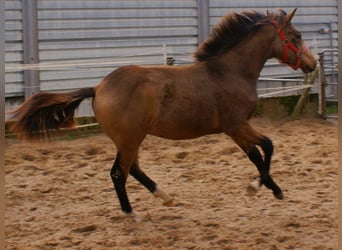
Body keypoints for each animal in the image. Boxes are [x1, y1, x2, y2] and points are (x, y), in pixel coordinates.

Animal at [8, 8, 316, 219]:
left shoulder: (235, 130)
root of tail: (98, 87)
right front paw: (258, 187)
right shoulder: (237, 125)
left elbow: (255, 155)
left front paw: (273, 189)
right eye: (296, 36)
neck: (229, 72)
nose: (311, 64)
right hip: (130, 138)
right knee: (119, 172)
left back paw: (165, 197)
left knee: (132, 168)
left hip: (131, 138)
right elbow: (268, 146)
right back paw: (132, 213)